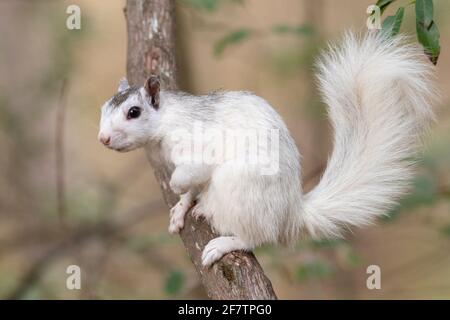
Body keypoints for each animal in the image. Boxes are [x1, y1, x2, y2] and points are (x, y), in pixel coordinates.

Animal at [97, 31, 436, 268]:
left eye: (134, 112)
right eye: (104, 108)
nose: (103, 139)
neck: (167, 121)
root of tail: (290, 214)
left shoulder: (197, 147)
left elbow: (189, 175)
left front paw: (178, 187)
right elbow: (191, 188)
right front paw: (181, 206)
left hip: (239, 188)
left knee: (257, 238)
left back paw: (224, 239)